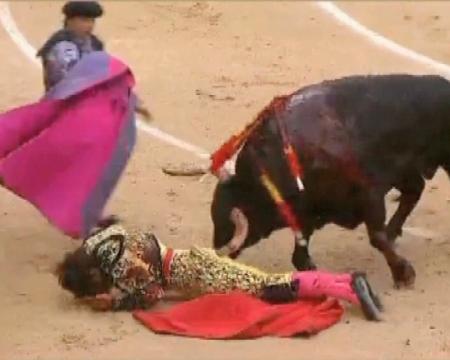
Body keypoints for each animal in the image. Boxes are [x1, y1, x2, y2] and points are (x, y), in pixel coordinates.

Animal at [211, 74, 450, 288]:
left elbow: (376, 236)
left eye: (228, 219)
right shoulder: (307, 212)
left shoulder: (368, 194)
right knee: (414, 191)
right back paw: (393, 232)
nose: (217, 249)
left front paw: (404, 275)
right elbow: (300, 255)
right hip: (406, 171)